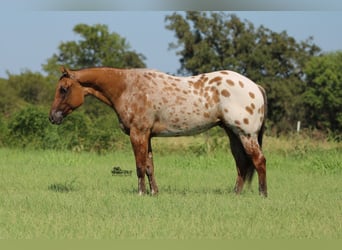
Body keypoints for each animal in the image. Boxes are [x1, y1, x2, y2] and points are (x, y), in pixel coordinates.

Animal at [48, 66, 268, 197]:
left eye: (64, 89)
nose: (52, 117)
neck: (127, 87)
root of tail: (254, 86)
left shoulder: (138, 134)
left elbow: (139, 166)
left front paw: (141, 193)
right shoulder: (147, 136)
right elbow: (149, 166)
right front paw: (154, 192)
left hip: (246, 134)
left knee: (259, 161)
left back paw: (262, 194)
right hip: (233, 134)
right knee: (241, 163)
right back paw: (236, 193)